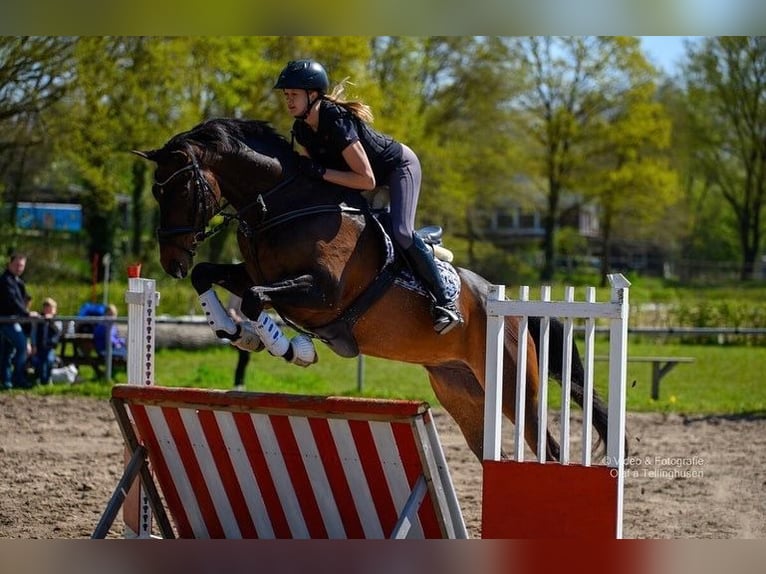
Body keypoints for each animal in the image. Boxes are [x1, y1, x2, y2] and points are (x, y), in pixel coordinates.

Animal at [134, 117, 612, 464]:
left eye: (180, 188)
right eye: (156, 191)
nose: (172, 262)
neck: (284, 207)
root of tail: (509, 304)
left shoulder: (323, 294)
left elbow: (256, 299)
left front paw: (291, 349)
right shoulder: (257, 275)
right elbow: (213, 277)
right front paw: (234, 331)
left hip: (514, 387)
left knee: (548, 449)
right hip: (462, 392)